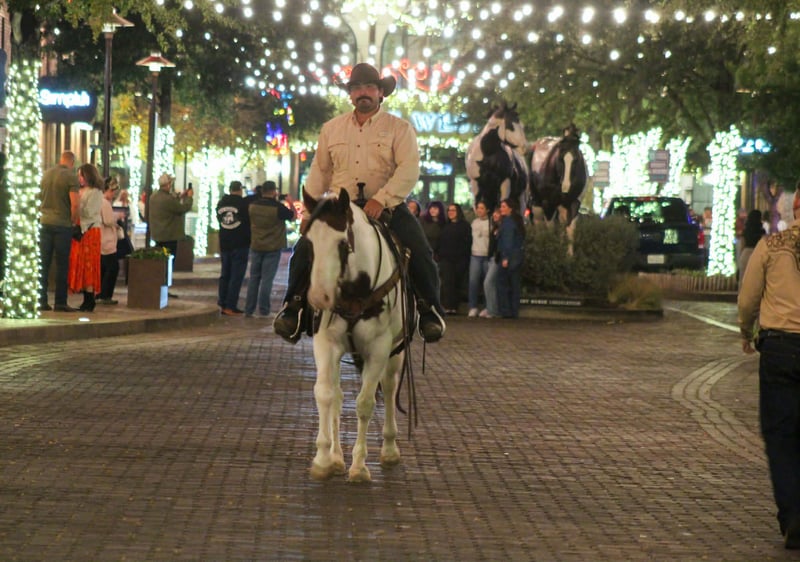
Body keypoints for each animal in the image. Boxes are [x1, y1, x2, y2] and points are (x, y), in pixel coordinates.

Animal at [302, 188, 409, 482]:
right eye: (308, 242)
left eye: (342, 244)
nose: (319, 297)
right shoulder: (326, 344)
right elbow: (326, 394)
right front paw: (324, 459)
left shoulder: (379, 349)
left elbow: (364, 404)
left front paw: (360, 466)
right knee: (338, 396)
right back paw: (338, 457)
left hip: (396, 351)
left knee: (389, 386)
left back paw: (389, 449)